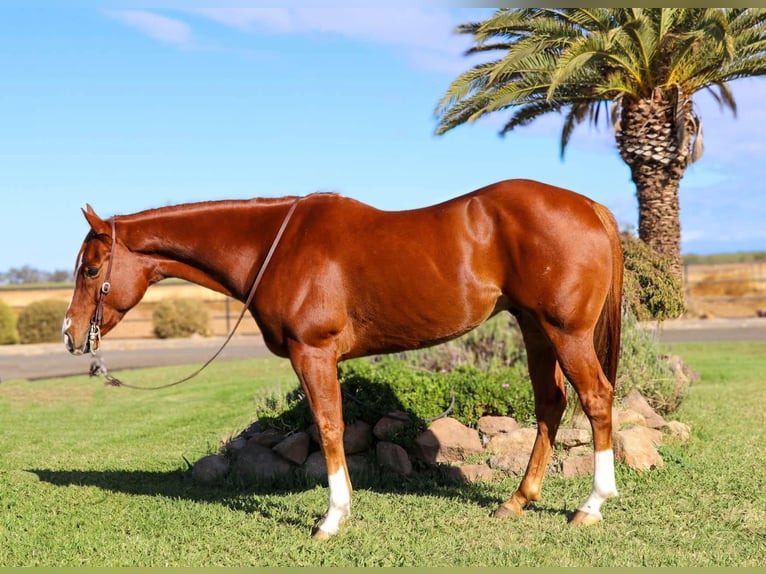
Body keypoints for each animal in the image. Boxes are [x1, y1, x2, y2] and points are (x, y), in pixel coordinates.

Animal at [61, 179, 624, 540]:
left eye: (91, 269)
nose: (70, 333)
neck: (275, 246)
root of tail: (591, 206)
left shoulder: (312, 352)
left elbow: (329, 425)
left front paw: (331, 519)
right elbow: (331, 424)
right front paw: (344, 508)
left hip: (565, 332)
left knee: (596, 399)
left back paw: (592, 506)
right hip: (534, 327)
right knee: (551, 404)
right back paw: (516, 501)